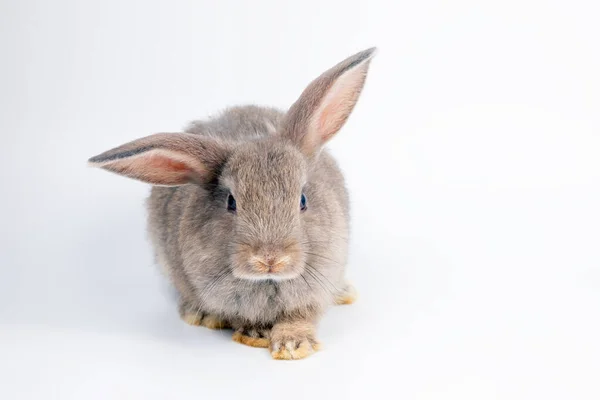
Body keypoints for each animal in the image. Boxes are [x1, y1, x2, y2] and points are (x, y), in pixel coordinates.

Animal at [87, 47, 378, 360]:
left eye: (302, 200)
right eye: (231, 202)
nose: (269, 259)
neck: (268, 283)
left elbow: (299, 317)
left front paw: (293, 345)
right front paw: (256, 334)